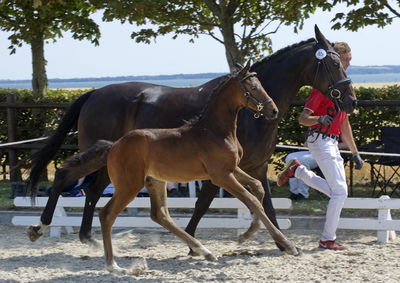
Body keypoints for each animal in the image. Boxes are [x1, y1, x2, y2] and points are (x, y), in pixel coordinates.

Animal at [25, 25, 356, 251]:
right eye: (333, 63)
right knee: (67, 177)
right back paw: (41, 226)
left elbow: (265, 204)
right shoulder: (220, 171)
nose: (351, 101)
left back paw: (87, 237)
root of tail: (94, 93)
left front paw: (281, 242)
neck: (243, 114)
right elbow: (206, 204)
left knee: (92, 191)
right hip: (102, 155)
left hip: (111, 161)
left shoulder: (255, 167)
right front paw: (193, 242)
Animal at [53, 65, 296, 274]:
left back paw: (204, 251)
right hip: (129, 185)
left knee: (160, 215)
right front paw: (287, 244)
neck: (214, 130)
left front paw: (248, 235)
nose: (273, 110)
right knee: (106, 214)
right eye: (253, 87)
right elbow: (252, 200)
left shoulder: (233, 169)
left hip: (155, 181)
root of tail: (114, 145)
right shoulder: (221, 176)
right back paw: (113, 265)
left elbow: (257, 189)